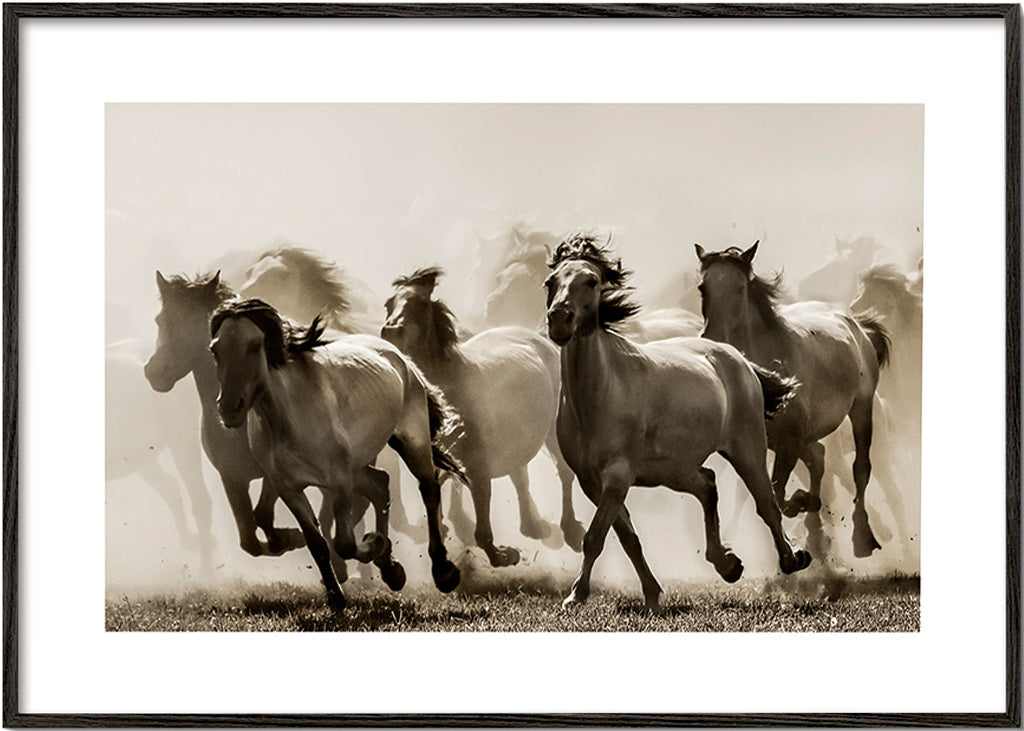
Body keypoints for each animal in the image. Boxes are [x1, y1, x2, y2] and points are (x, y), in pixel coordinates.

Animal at [209, 298, 463, 608]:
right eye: (215, 349)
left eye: (255, 345)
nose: (229, 408)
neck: (288, 417)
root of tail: (399, 357)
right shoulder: (288, 487)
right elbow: (316, 542)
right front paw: (335, 596)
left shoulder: (339, 481)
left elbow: (343, 542)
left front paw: (373, 544)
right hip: (357, 466)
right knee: (381, 484)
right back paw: (391, 571)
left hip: (411, 443)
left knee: (428, 488)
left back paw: (443, 572)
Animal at [382, 266, 587, 565]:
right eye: (389, 304)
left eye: (419, 304)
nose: (390, 332)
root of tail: (539, 339)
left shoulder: (478, 465)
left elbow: (481, 516)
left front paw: (501, 554)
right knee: (519, 474)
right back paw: (533, 526)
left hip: (551, 431)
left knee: (563, 472)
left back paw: (570, 530)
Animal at [545, 234, 811, 610]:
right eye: (551, 282)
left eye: (592, 281)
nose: (559, 319)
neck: (598, 395)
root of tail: (738, 358)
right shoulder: (592, 482)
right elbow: (628, 539)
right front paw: (652, 594)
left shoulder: (617, 476)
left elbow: (595, 537)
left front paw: (575, 596)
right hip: (674, 469)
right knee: (708, 484)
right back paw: (727, 564)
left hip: (747, 450)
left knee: (767, 504)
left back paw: (792, 559)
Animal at [696, 241, 891, 558]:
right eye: (703, 287)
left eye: (740, 287)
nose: (713, 337)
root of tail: (856, 325)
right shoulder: (768, 444)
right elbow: (778, 493)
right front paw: (804, 507)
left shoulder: (790, 441)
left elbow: (777, 494)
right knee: (819, 457)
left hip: (862, 408)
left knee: (860, 468)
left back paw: (862, 537)